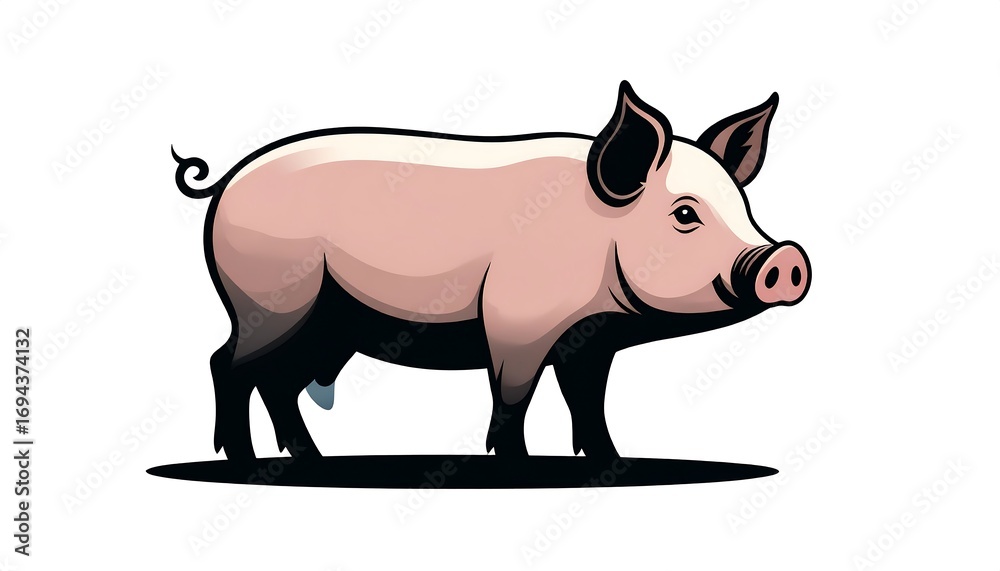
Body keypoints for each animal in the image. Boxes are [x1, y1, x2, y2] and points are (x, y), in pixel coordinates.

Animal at [172, 81, 810, 462]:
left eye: (745, 208)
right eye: (685, 215)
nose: (786, 258)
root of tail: (225, 180)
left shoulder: (592, 340)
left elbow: (588, 398)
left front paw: (611, 461)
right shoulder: (514, 321)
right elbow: (513, 395)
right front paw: (517, 465)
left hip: (328, 321)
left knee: (276, 379)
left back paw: (310, 458)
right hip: (272, 300)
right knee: (228, 364)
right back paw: (245, 460)